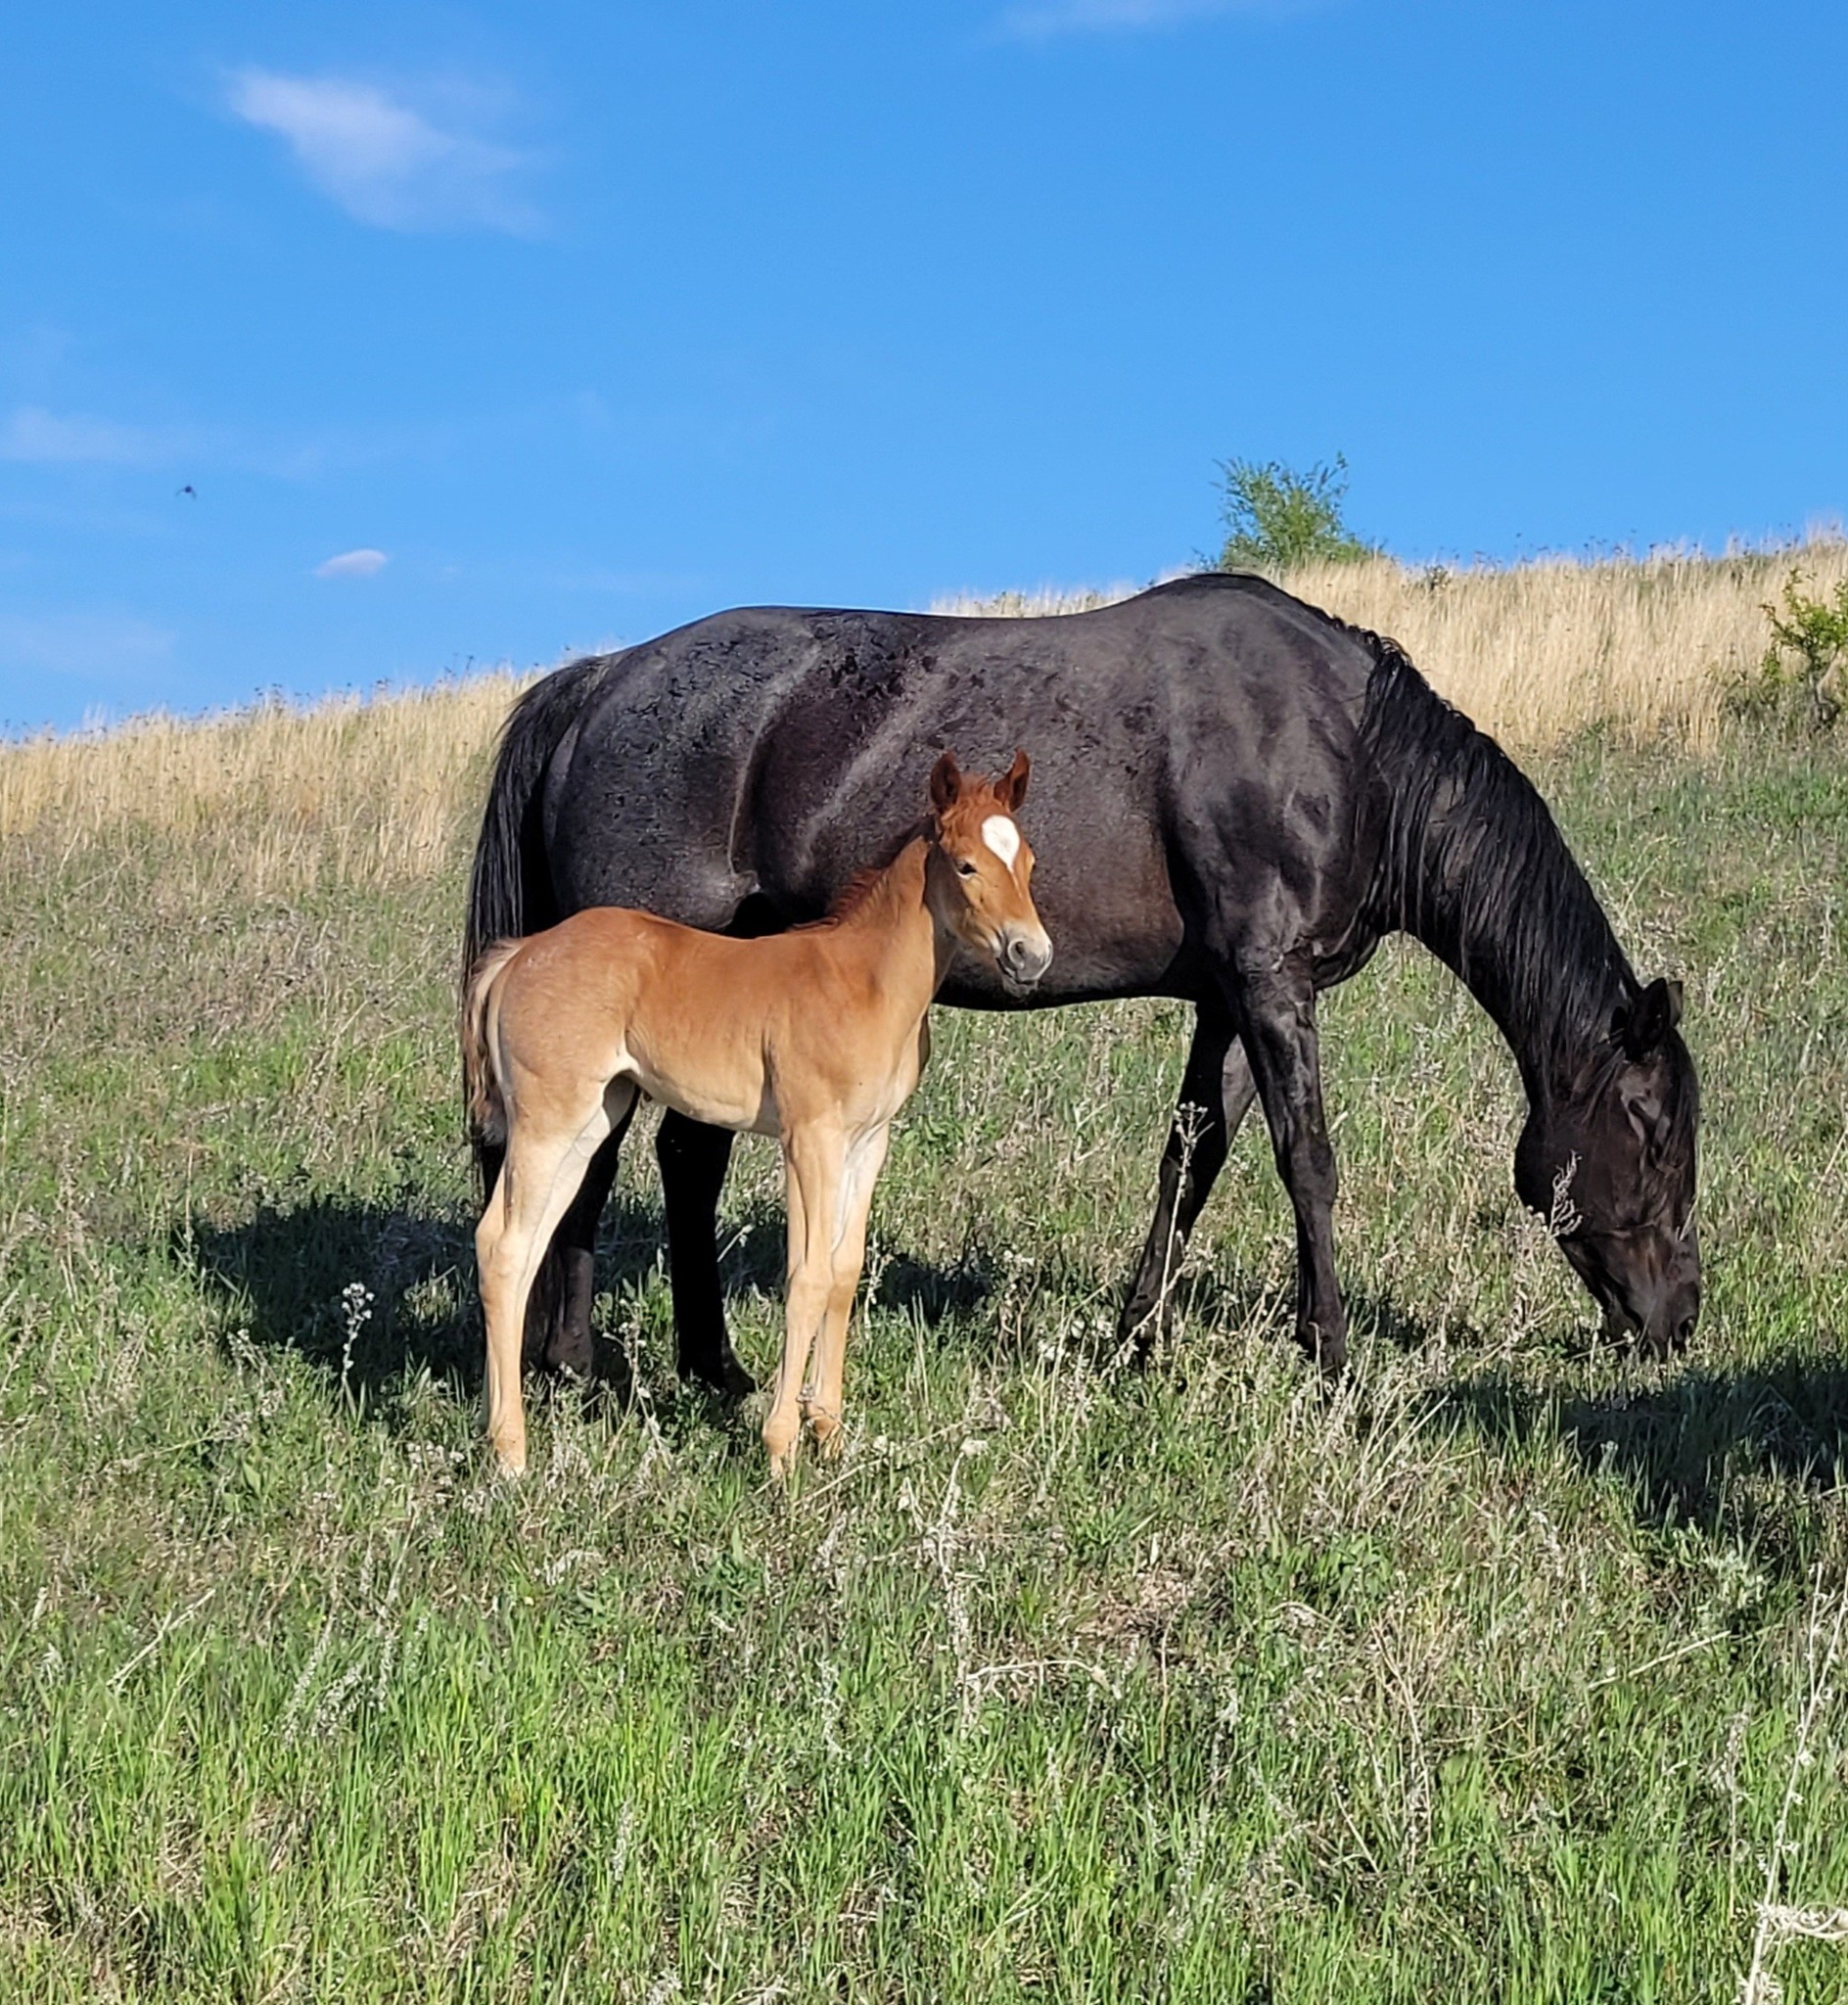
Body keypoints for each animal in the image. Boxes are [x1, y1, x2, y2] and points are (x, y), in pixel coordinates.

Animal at [462, 571, 1700, 1394]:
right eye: (1652, 1131)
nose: (1678, 1316)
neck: (1351, 748)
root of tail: (599, 680)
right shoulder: (1272, 981)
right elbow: (1307, 1160)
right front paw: (1330, 1356)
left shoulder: (1229, 997)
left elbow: (1192, 1159)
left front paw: (1136, 1341)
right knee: (591, 1160)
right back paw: (573, 1364)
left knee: (686, 1157)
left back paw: (709, 1364)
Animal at [462, 751, 1051, 1475]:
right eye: (966, 865)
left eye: (1027, 861)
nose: (1031, 954)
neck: (865, 980)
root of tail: (519, 954)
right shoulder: (811, 1138)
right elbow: (808, 1276)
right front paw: (781, 1446)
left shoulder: (868, 1141)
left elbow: (844, 1273)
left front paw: (829, 1430)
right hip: (547, 1123)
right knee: (502, 1247)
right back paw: (510, 1451)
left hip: (588, 1121)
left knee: (527, 1244)